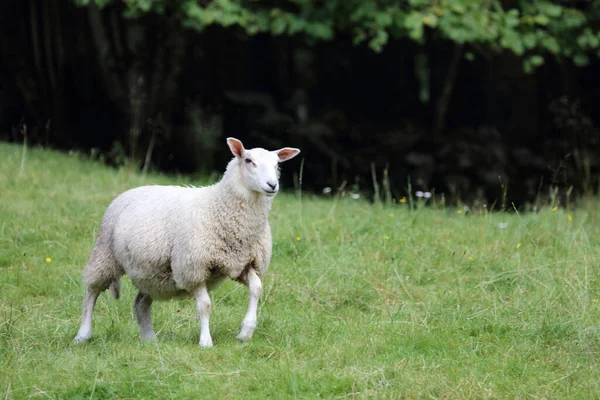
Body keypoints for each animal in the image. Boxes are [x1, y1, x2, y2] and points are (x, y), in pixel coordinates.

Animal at [72, 138, 300, 346]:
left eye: (277, 165)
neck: (220, 207)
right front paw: (206, 342)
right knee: (91, 292)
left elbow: (257, 289)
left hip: (152, 273)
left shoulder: (245, 263)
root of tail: (131, 190)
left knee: (140, 304)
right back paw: (83, 335)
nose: (272, 185)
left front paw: (245, 332)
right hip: (105, 254)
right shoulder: (193, 268)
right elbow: (205, 305)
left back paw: (150, 341)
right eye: (249, 160)